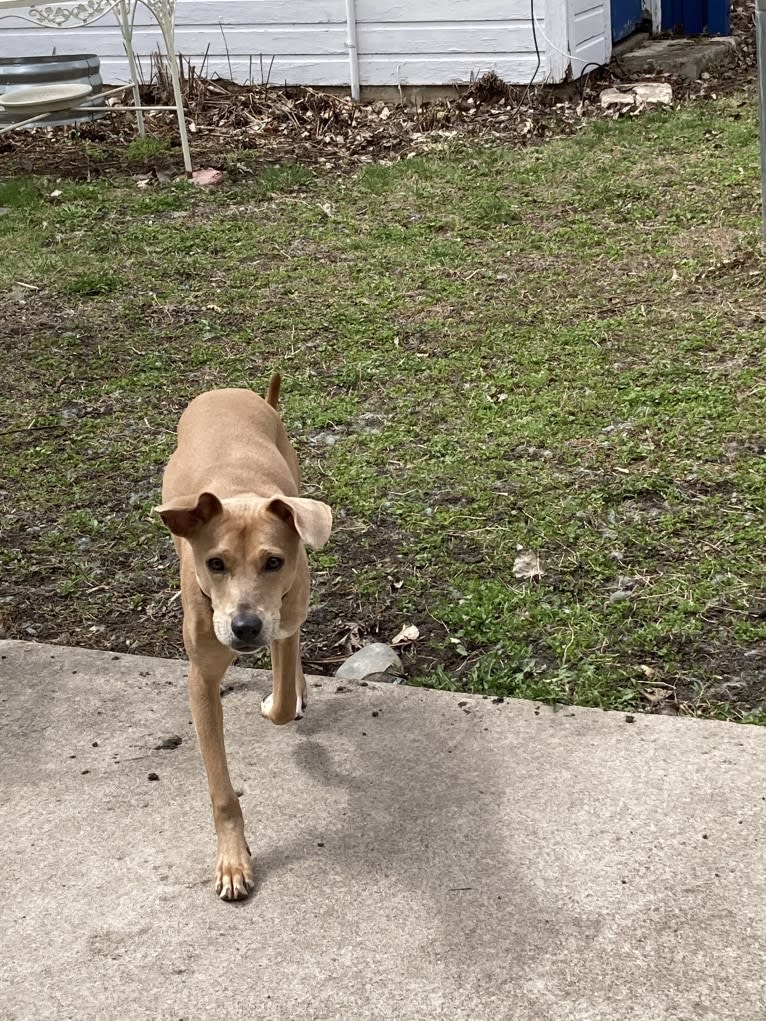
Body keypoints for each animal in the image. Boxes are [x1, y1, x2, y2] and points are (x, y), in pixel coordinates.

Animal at [156, 377, 332, 902]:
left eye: (273, 562)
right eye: (215, 563)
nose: (245, 627)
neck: (239, 494)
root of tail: (229, 390)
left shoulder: (284, 617)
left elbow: (281, 702)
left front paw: (281, 699)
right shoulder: (201, 678)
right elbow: (220, 788)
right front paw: (233, 860)